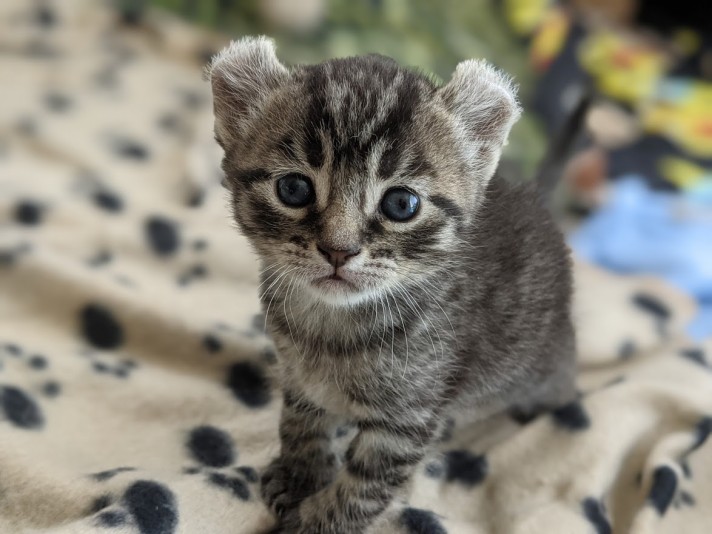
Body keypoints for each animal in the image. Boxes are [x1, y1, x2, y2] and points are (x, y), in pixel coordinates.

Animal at [209, 37, 576, 534]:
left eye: (401, 203)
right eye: (293, 189)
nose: (339, 250)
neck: (331, 325)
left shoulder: (408, 418)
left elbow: (364, 488)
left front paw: (313, 523)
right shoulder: (299, 375)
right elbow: (300, 422)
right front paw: (300, 473)